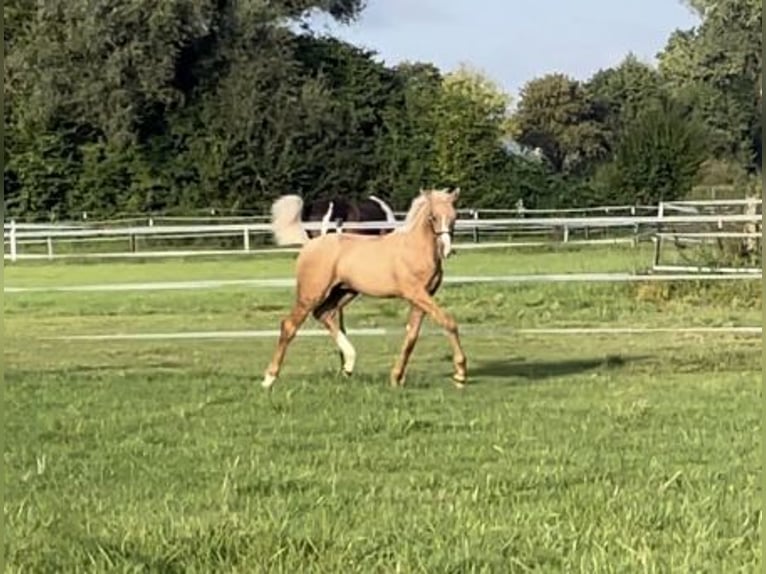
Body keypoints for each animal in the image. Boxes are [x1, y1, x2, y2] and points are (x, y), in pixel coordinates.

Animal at [264, 189, 468, 392]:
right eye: (432, 217)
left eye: (454, 216)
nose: (446, 249)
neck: (414, 249)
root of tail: (309, 244)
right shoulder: (416, 294)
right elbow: (449, 322)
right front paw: (460, 375)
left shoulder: (422, 298)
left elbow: (412, 336)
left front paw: (396, 378)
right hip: (311, 294)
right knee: (289, 326)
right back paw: (269, 378)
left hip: (344, 292)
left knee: (324, 314)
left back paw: (348, 365)